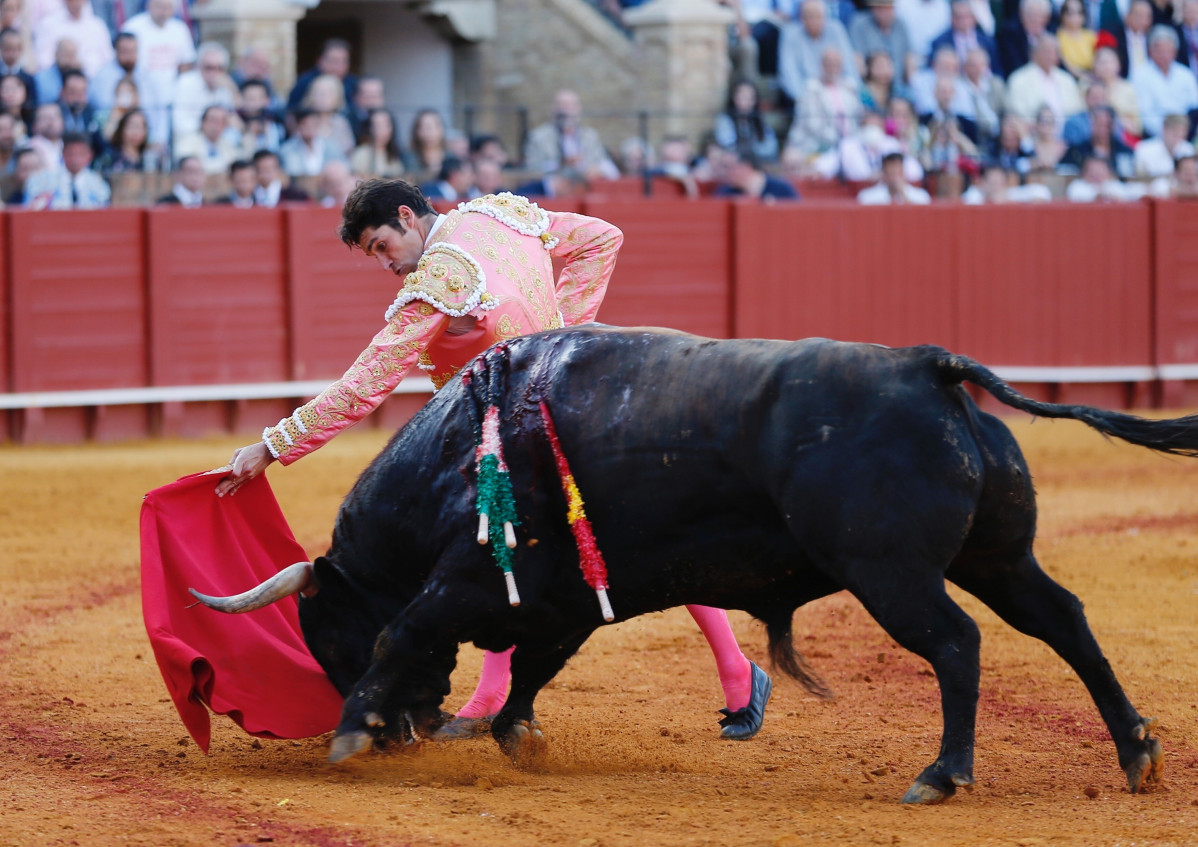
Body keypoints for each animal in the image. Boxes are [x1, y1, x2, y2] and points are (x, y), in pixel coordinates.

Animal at [194, 328, 1188, 805]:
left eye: (325, 635)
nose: (409, 729)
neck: (461, 446)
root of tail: (925, 368)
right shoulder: (563, 601)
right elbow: (535, 668)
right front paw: (516, 734)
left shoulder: (473, 581)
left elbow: (406, 627)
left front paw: (352, 730)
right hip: (1000, 555)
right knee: (1064, 619)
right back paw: (1137, 751)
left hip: (891, 573)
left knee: (956, 644)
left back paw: (943, 774)